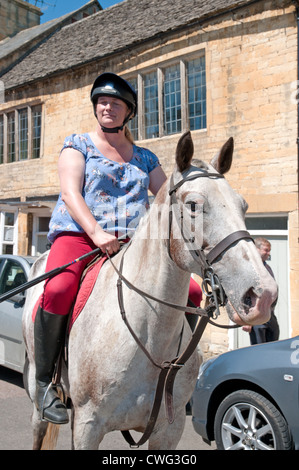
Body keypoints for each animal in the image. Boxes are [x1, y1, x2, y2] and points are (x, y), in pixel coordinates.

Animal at [22, 130, 278, 450]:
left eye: (242, 205)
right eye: (193, 205)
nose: (263, 295)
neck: (148, 335)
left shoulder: (169, 430)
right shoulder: (86, 426)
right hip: (37, 400)